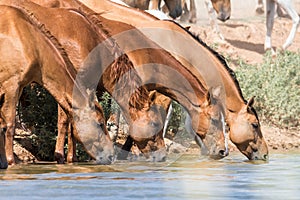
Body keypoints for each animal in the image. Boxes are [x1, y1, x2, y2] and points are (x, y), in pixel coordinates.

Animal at [0, 4, 116, 165]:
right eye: (100, 123)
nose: (112, 155)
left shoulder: (18, 87)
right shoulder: (11, 87)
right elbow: (9, 124)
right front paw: (10, 161)